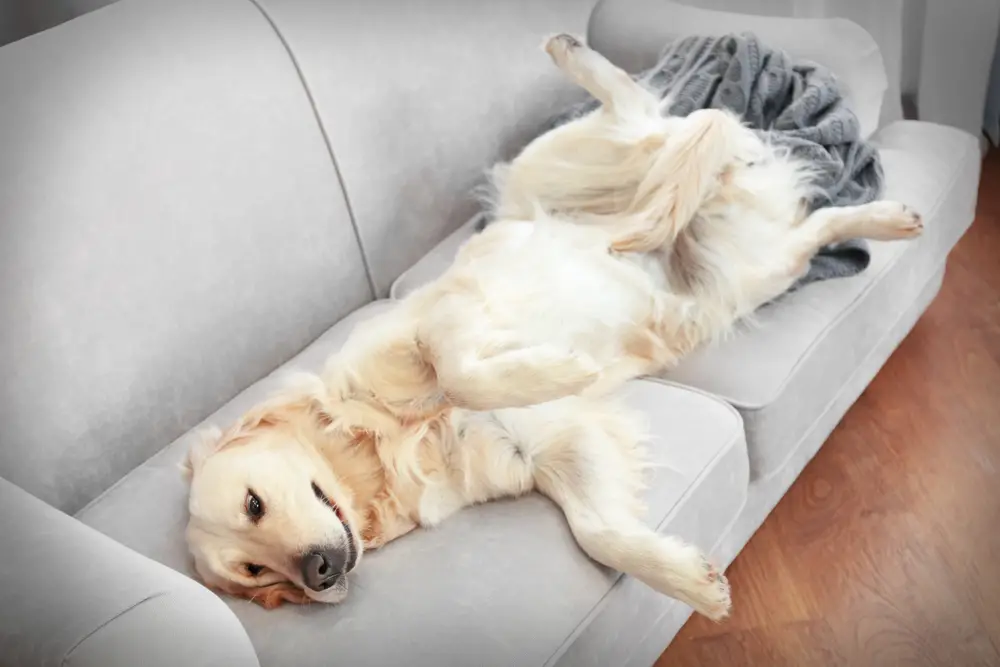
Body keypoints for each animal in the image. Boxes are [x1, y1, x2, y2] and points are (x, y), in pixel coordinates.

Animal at [182, 35, 920, 620]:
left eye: (253, 504)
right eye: (253, 571)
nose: (318, 573)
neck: (382, 442)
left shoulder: (439, 317)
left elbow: (460, 371)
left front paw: (554, 367)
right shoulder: (552, 447)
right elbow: (597, 529)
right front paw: (691, 580)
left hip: (555, 169)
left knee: (649, 116)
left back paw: (574, 54)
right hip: (746, 276)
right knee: (810, 221)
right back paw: (888, 219)